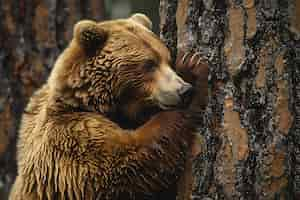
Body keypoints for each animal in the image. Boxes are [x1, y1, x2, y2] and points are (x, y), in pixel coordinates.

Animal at [8, 13, 206, 199]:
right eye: (149, 64)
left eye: (168, 59)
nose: (184, 90)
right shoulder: (70, 139)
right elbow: (125, 162)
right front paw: (194, 69)